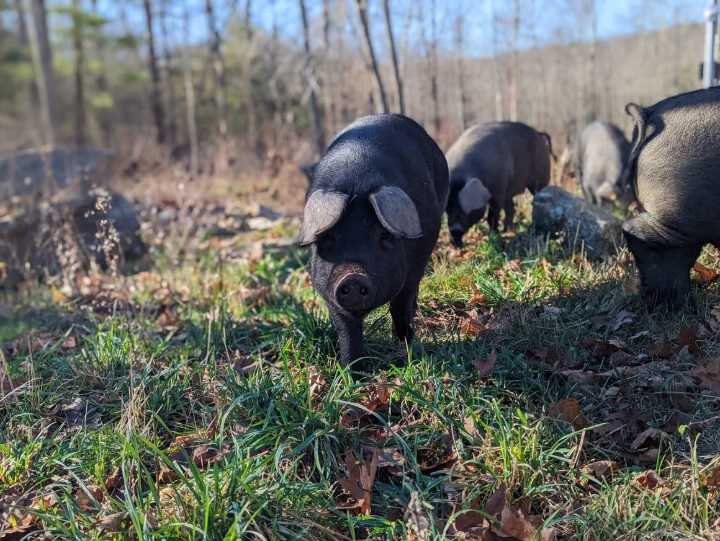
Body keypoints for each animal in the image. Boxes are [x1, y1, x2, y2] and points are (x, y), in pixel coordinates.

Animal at [298, 114, 449, 369]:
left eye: (383, 235)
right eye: (329, 237)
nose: (353, 275)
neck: (356, 183)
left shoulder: (412, 270)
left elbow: (400, 307)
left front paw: (405, 350)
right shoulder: (330, 295)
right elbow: (346, 331)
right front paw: (352, 370)